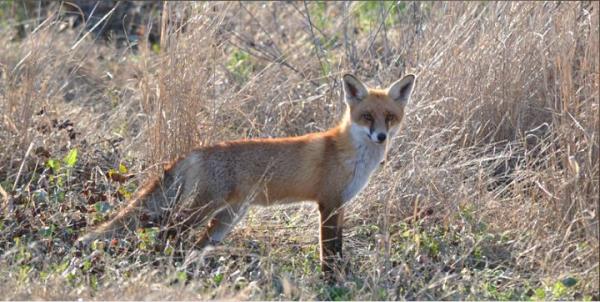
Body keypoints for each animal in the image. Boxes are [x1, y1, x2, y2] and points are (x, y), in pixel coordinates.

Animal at [76, 73, 418, 276]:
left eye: (389, 117)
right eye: (367, 116)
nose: (381, 137)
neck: (351, 155)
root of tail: (196, 151)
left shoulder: (340, 205)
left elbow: (339, 246)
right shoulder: (329, 204)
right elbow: (329, 249)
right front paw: (331, 278)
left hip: (226, 218)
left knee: (195, 246)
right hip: (203, 209)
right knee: (169, 231)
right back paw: (163, 263)